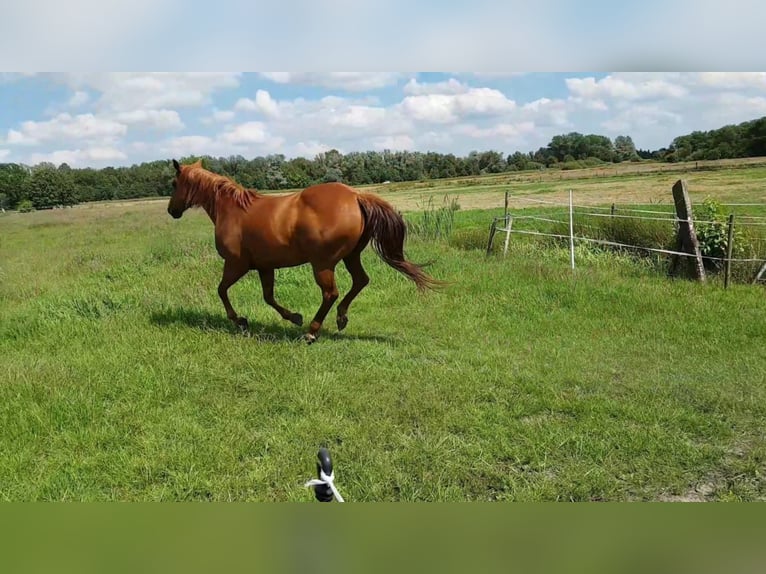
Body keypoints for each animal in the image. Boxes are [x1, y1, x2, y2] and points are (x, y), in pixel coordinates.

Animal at [168, 160, 444, 344]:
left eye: (174, 183)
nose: (172, 211)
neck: (232, 210)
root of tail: (356, 195)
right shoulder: (265, 266)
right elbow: (268, 297)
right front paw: (293, 317)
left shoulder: (236, 264)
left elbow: (222, 291)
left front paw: (241, 321)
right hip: (350, 256)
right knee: (360, 281)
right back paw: (340, 319)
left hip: (322, 263)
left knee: (331, 293)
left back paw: (312, 331)